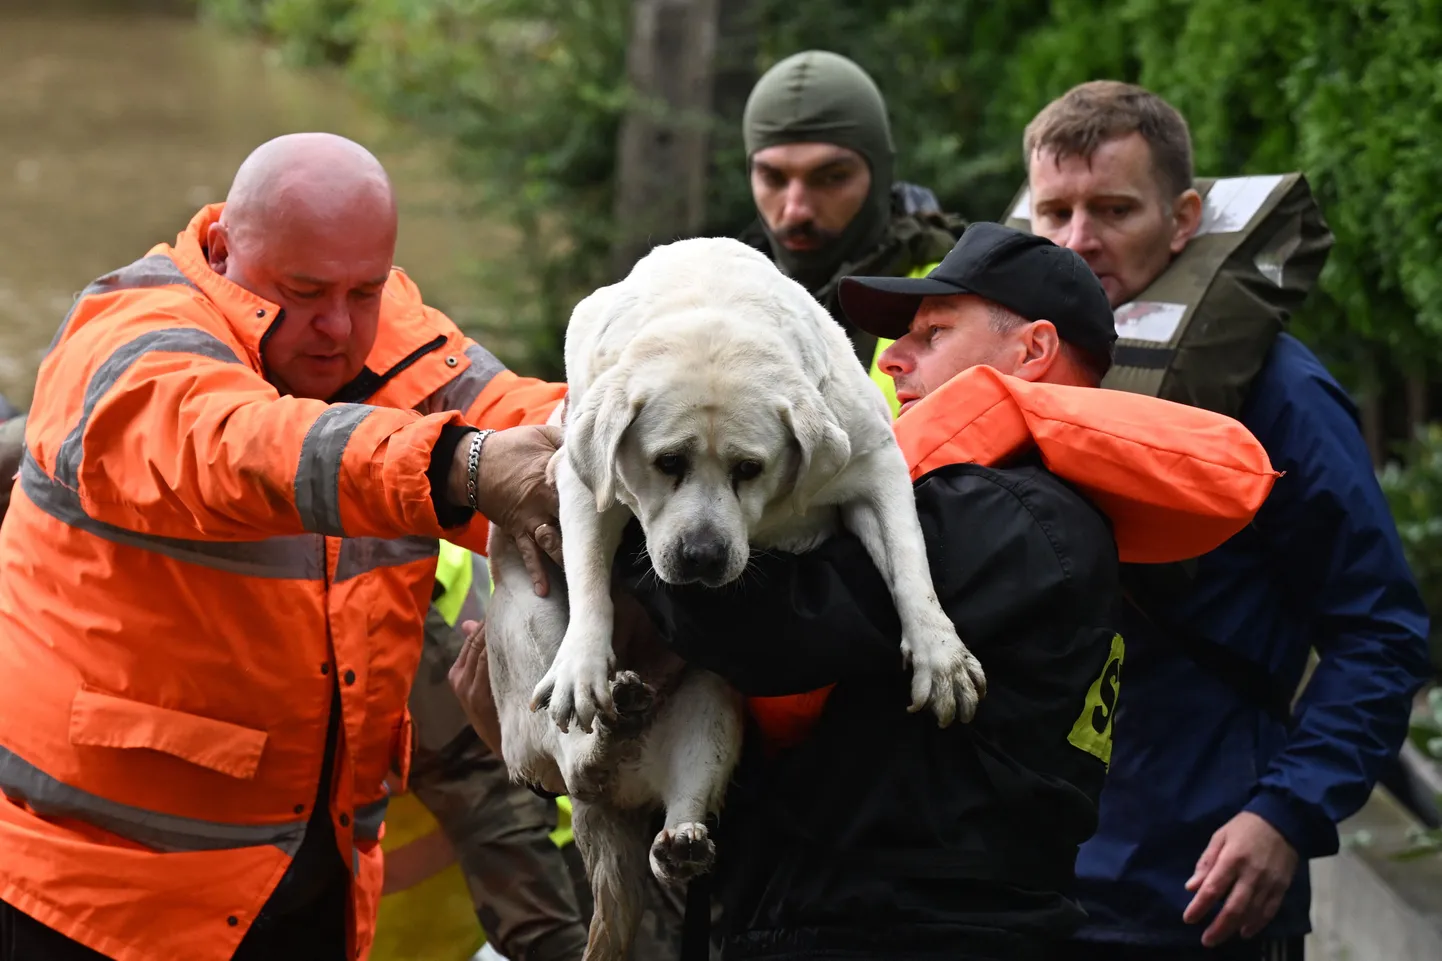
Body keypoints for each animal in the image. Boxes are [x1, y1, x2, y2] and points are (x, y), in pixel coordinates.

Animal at [484, 233, 980, 958]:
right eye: (668, 462)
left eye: (750, 468)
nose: (701, 557)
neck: (711, 313)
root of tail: (613, 806)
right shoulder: (576, 476)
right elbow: (589, 577)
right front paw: (584, 662)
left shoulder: (874, 466)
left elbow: (911, 560)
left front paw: (942, 657)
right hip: (525, 633)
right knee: (572, 755)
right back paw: (606, 710)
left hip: (713, 706)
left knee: (673, 798)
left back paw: (678, 832)